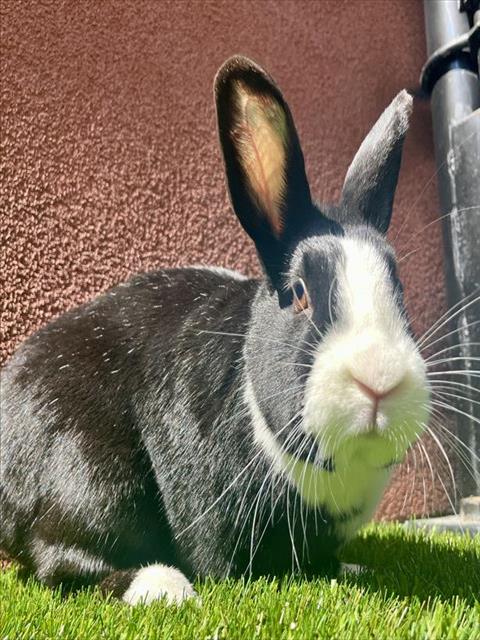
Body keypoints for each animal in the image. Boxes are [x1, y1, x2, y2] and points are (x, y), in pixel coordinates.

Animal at [0, 56, 432, 604]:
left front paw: (351, 569)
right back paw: (160, 586)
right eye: (298, 293)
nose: (380, 379)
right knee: (61, 560)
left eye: (399, 288)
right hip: (86, 475)